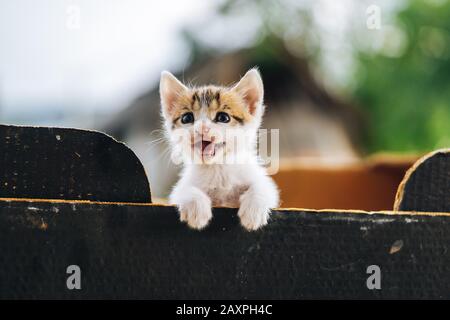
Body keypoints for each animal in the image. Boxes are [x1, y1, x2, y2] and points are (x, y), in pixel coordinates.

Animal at [158, 69, 278, 231]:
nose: (202, 128)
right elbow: (184, 189)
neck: (218, 168)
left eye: (223, 117)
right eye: (187, 118)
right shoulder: (179, 190)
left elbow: (263, 187)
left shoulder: (261, 180)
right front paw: (196, 207)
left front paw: (254, 210)